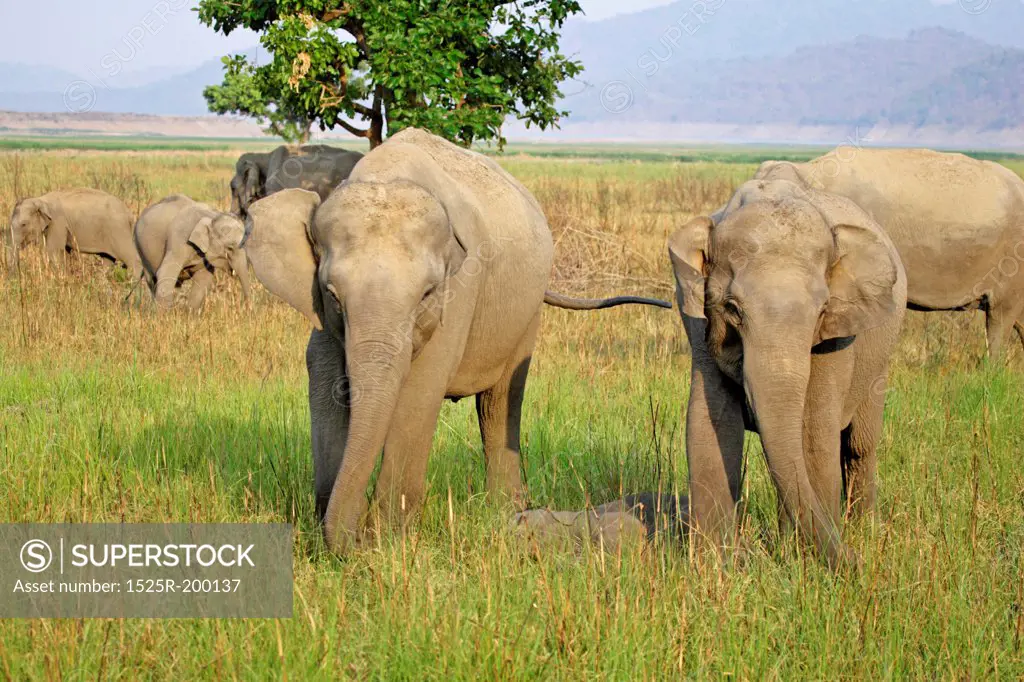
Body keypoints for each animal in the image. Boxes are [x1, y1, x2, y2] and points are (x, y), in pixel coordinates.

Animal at [5, 186, 142, 276]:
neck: (40, 199)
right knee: (108, 261)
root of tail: (130, 214)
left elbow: (54, 252)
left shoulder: (58, 223)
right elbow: (64, 252)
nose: (14, 276)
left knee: (131, 259)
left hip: (118, 230)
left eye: (23, 224)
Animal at [240, 127, 671, 552]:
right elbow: (325, 379)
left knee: (501, 400)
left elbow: (420, 389)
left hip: (527, 310)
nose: (354, 539)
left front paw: (386, 541)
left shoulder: (461, 290)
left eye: (428, 294)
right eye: (332, 294)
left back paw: (506, 512)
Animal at [667, 176, 909, 569]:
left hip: (879, 359)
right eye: (732, 308)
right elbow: (711, 422)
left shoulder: (837, 335)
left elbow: (813, 429)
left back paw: (861, 528)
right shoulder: (695, 316)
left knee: (858, 444)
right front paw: (716, 564)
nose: (858, 562)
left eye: (822, 309)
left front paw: (801, 560)